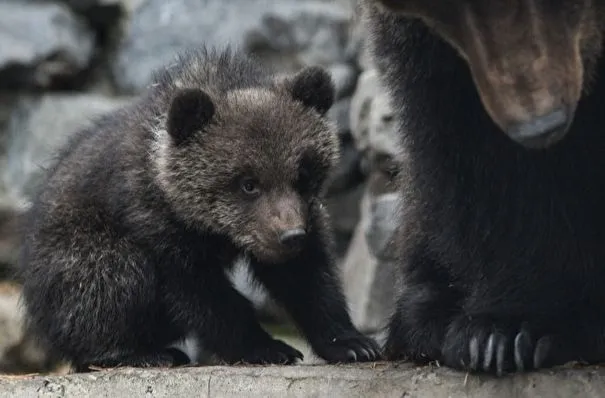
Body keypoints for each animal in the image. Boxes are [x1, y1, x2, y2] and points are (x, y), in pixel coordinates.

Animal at [17, 47, 378, 374]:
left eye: (302, 174)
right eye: (248, 183)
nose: (290, 236)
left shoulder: (302, 217)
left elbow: (307, 279)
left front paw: (351, 343)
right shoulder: (158, 228)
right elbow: (203, 296)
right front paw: (267, 346)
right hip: (78, 251)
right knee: (113, 277)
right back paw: (141, 353)